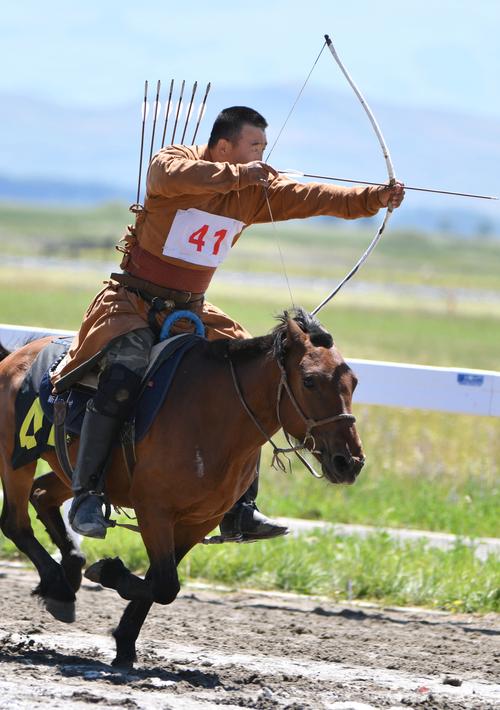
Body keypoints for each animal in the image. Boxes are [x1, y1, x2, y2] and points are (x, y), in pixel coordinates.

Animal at [0, 308, 364, 672]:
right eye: (309, 380)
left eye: (353, 383)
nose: (350, 462)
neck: (212, 415)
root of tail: (15, 358)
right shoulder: (154, 511)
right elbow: (165, 585)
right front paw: (108, 572)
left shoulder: (197, 521)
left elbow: (162, 582)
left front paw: (125, 644)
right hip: (15, 460)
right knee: (16, 523)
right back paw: (59, 586)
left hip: (66, 469)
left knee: (42, 495)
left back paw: (69, 571)